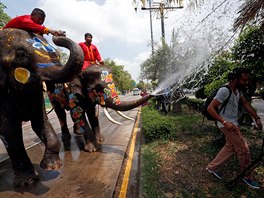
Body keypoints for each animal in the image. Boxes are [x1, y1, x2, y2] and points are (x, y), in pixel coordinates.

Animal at [0, 28, 83, 186]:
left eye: (57, 55)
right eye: (21, 55)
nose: (59, 34)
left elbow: (40, 123)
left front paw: (52, 167)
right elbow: (9, 131)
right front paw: (28, 182)